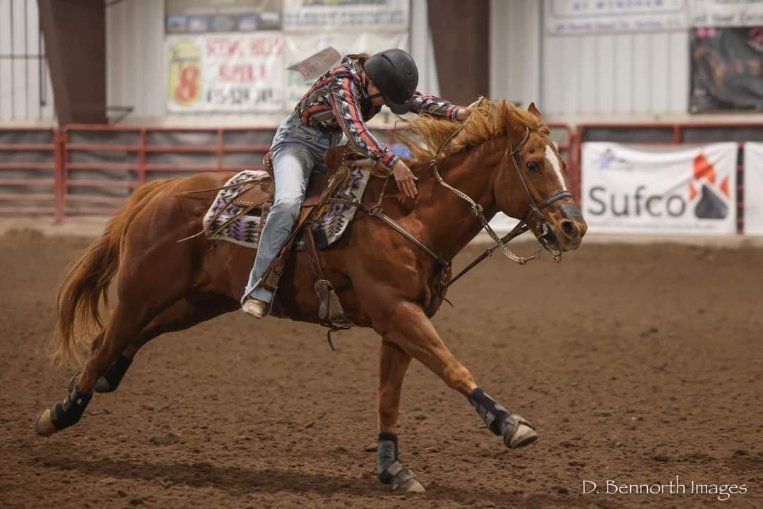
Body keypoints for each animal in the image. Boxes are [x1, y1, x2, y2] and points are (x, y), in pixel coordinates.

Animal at [35, 99, 587, 492]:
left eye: (560, 160)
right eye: (534, 165)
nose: (573, 228)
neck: (411, 215)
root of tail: (159, 190)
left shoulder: (398, 323)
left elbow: (389, 396)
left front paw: (392, 469)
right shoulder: (398, 312)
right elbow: (453, 368)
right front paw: (510, 424)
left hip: (195, 302)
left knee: (128, 340)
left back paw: (98, 385)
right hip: (142, 293)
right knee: (104, 342)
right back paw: (58, 413)